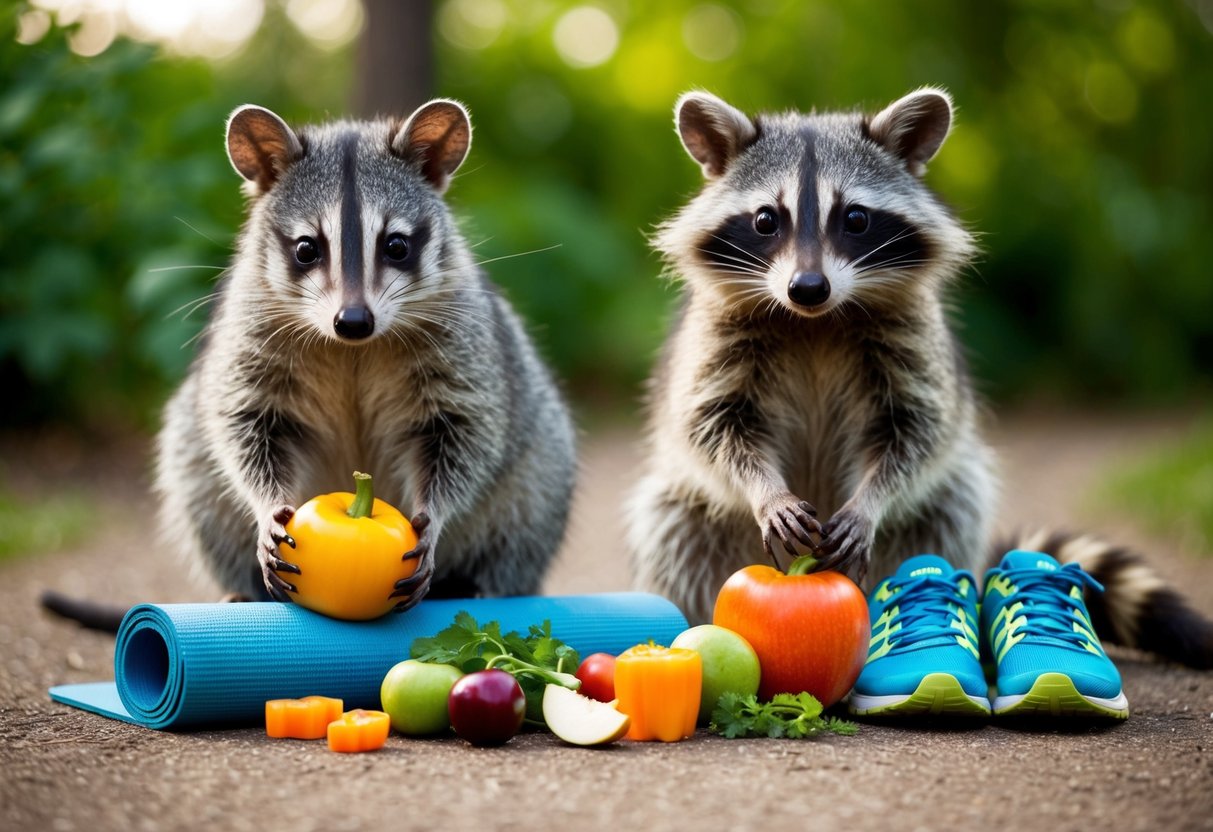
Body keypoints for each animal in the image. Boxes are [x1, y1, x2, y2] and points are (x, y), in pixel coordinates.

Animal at [152, 99, 576, 610]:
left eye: (396, 245)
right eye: (306, 248)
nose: (353, 321)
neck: (352, 348)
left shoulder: (464, 345)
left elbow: (465, 434)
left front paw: (434, 516)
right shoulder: (251, 335)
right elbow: (245, 426)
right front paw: (265, 505)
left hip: (538, 469)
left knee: (529, 498)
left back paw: (477, 581)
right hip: (193, 463)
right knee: (194, 466)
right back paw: (248, 590)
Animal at [627, 88, 1213, 668]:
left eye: (855, 218)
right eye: (767, 219)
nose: (808, 287)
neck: (815, 323)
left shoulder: (912, 344)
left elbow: (914, 433)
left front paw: (870, 502)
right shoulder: (716, 341)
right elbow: (713, 427)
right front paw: (767, 492)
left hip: (940, 508)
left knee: (950, 506)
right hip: (691, 513)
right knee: (676, 529)